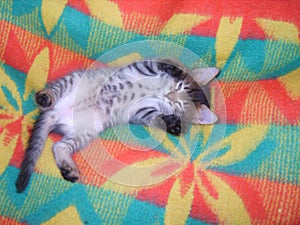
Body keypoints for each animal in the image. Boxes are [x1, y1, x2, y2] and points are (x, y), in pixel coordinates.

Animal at [15, 58, 218, 192]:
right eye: (179, 87)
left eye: (179, 106)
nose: (169, 96)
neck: (157, 93)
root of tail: (55, 113)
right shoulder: (146, 66)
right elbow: (162, 64)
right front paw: (175, 70)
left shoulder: (141, 111)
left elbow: (156, 117)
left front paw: (173, 124)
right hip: (72, 80)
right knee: (52, 94)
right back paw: (45, 97)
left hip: (85, 131)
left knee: (58, 146)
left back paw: (68, 168)